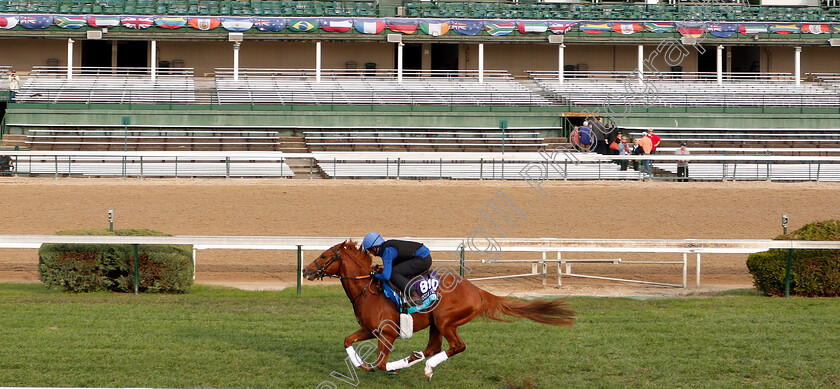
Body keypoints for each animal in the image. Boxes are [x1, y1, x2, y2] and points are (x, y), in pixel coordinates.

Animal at [304, 239, 576, 378]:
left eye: (325, 255)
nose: (306, 270)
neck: (367, 291)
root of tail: (478, 291)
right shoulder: (369, 330)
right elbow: (347, 340)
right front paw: (360, 362)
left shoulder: (387, 334)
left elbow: (380, 364)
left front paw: (388, 367)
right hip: (435, 322)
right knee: (433, 347)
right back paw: (416, 359)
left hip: (446, 321)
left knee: (457, 346)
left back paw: (423, 366)